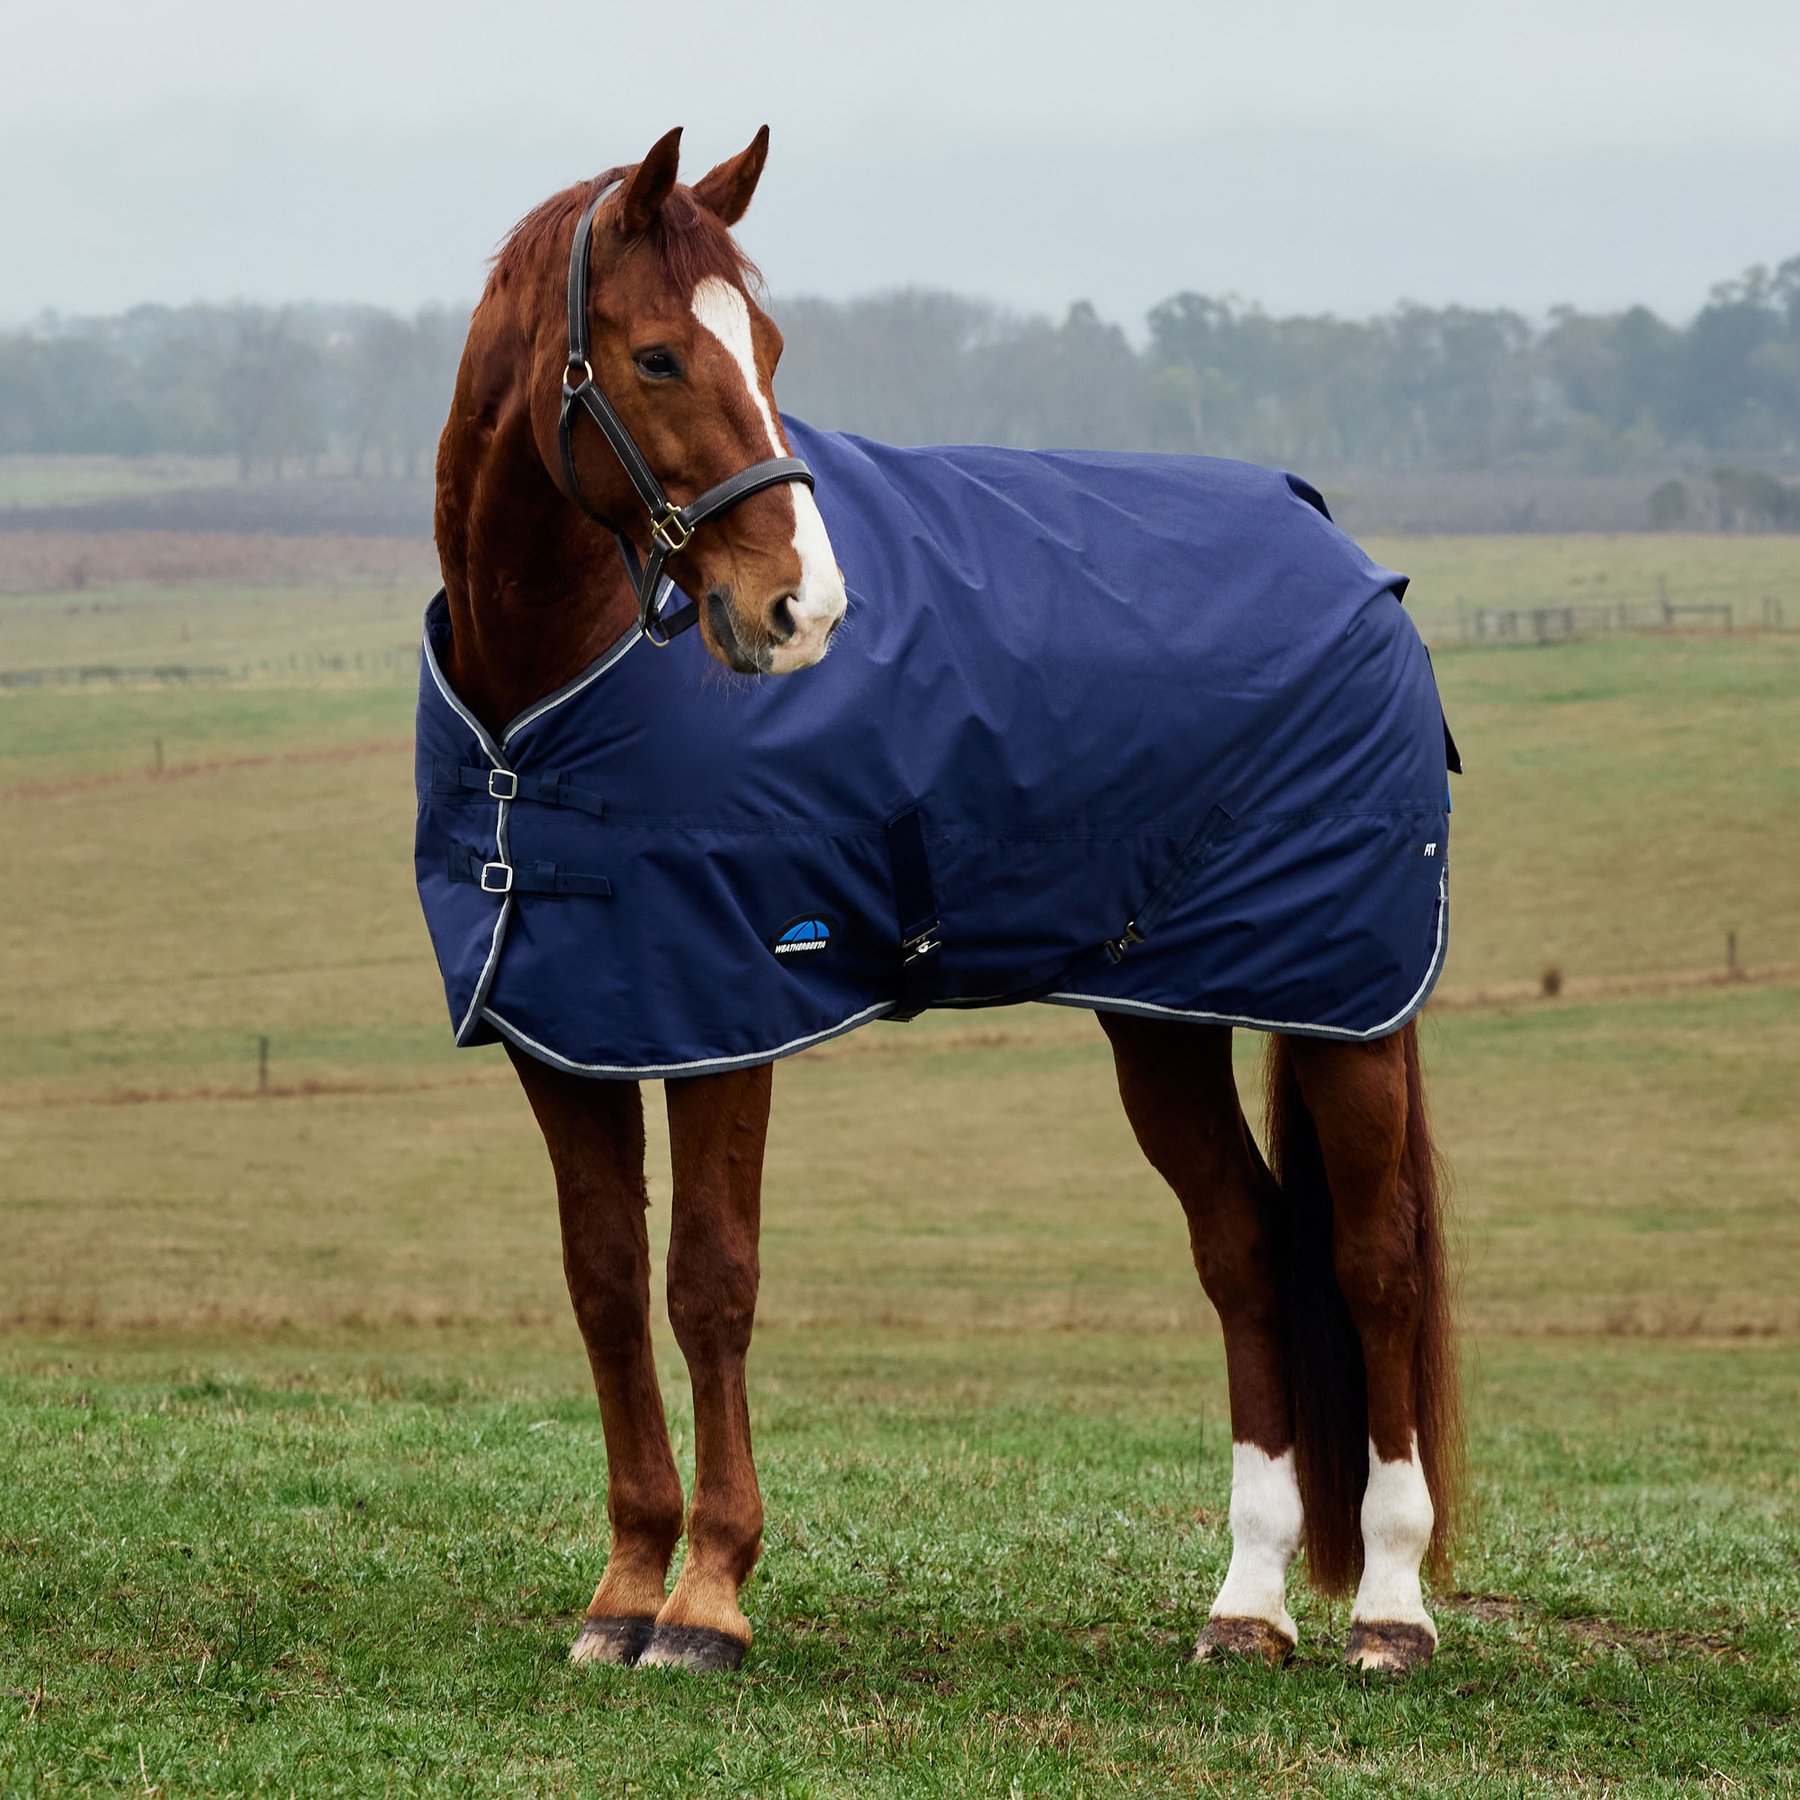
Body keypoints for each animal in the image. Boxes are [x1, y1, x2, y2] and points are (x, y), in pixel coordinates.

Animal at [427, 125, 1461, 1677]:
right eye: (659, 357)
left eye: (769, 348)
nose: (803, 612)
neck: (541, 704)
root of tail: (1353, 562)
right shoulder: (568, 1027)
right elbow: (605, 1282)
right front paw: (622, 1591)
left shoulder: (732, 1010)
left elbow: (709, 1281)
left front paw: (709, 1600)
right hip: (1163, 1013)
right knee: (1248, 1252)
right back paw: (1249, 1603)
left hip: (1345, 1003)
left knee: (1372, 1257)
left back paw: (1391, 1606)